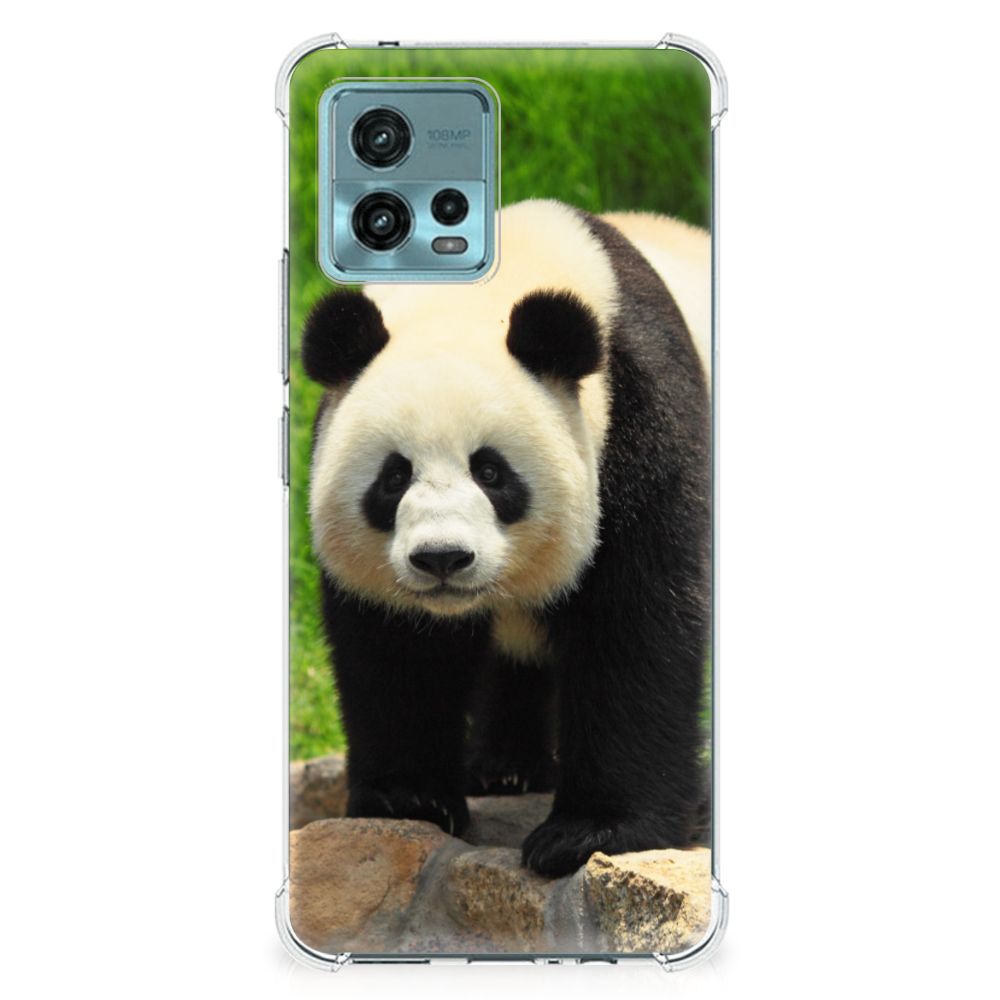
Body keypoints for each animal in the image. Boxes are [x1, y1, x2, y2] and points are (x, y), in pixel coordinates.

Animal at [302, 199, 711, 877]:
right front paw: (408, 799)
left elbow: (637, 624)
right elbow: (396, 649)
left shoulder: (642, 423)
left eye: (491, 472)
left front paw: (590, 832)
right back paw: (504, 768)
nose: (442, 558)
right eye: (393, 477)